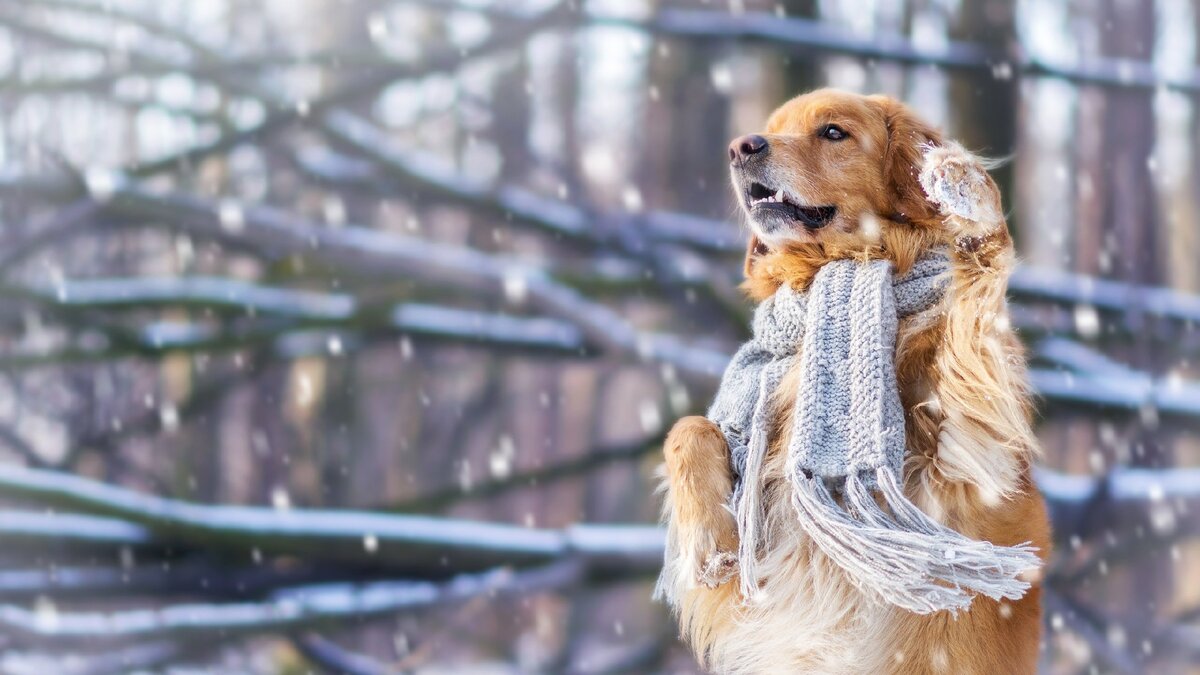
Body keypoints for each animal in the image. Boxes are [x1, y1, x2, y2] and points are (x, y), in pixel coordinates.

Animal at [657, 90, 1051, 672]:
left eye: (833, 132)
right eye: (773, 126)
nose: (741, 147)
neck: (842, 266)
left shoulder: (965, 451)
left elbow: (973, 300)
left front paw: (963, 187)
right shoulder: (756, 580)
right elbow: (687, 429)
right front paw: (710, 542)